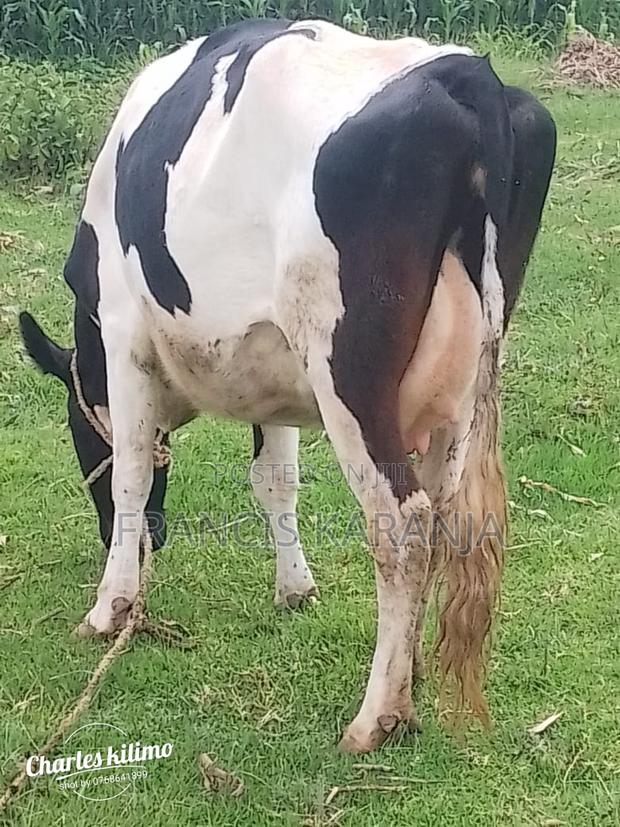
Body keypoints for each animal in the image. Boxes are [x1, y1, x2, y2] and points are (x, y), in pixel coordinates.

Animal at [19, 18, 555, 753]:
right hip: (464, 384)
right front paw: (295, 587)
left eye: (76, 434)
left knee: (404, 522)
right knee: (447, 513)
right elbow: (276, 477)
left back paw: (376, 716)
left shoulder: (126, 331)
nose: (146, 536)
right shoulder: (266, 361)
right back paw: (409, 673)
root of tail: (467, 75)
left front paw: (110, 608)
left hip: (347, 369)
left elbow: (129, 467)